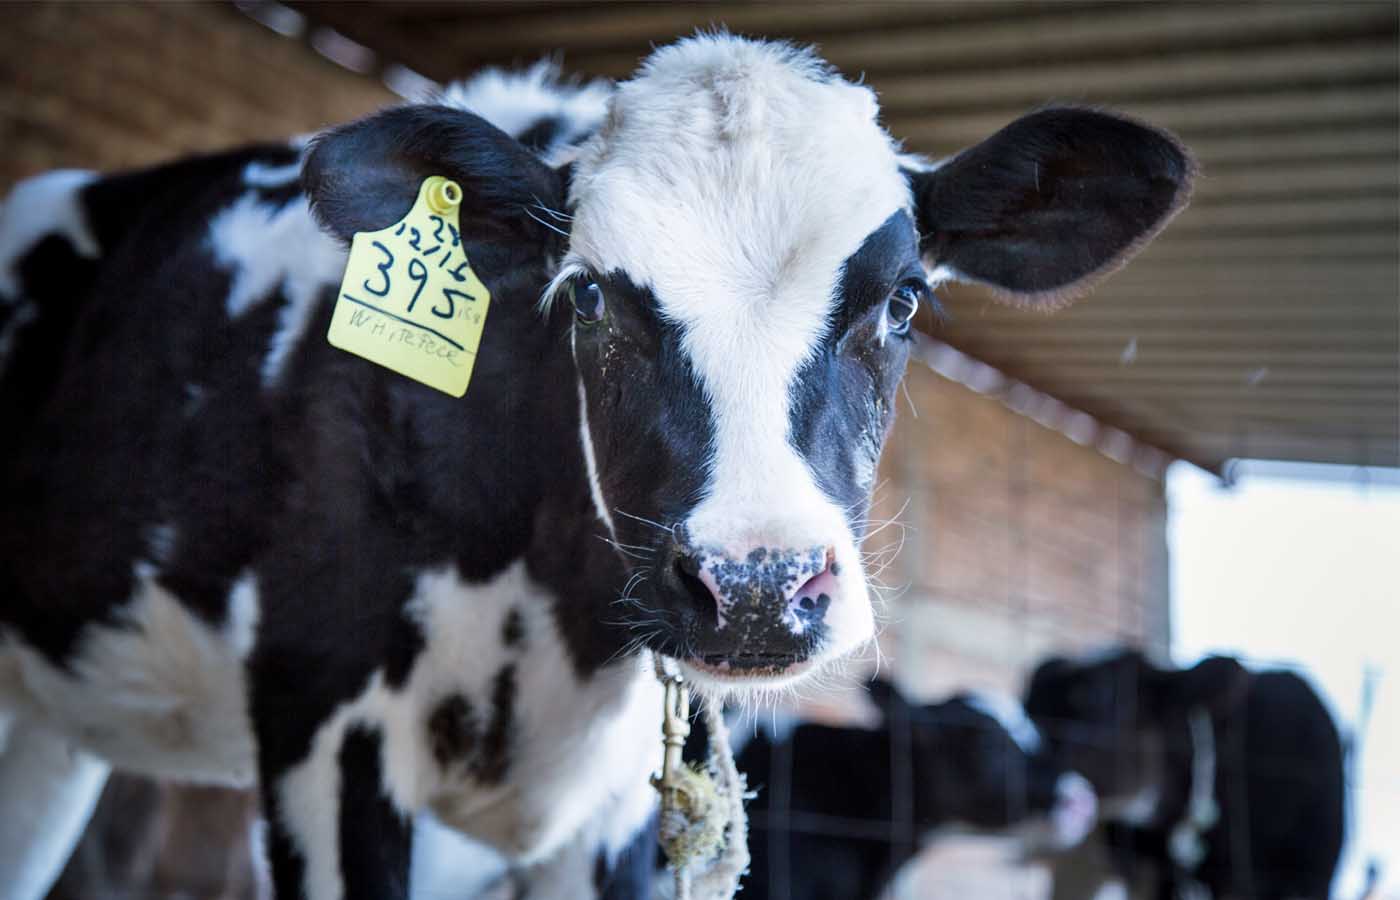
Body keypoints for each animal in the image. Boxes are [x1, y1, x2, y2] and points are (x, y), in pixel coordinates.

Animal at [0, 35, 1192, 900]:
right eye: (586, 296)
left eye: (903, 299)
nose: (755, 590)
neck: (555, 618)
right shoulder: (322, 729)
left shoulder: (622, 815)